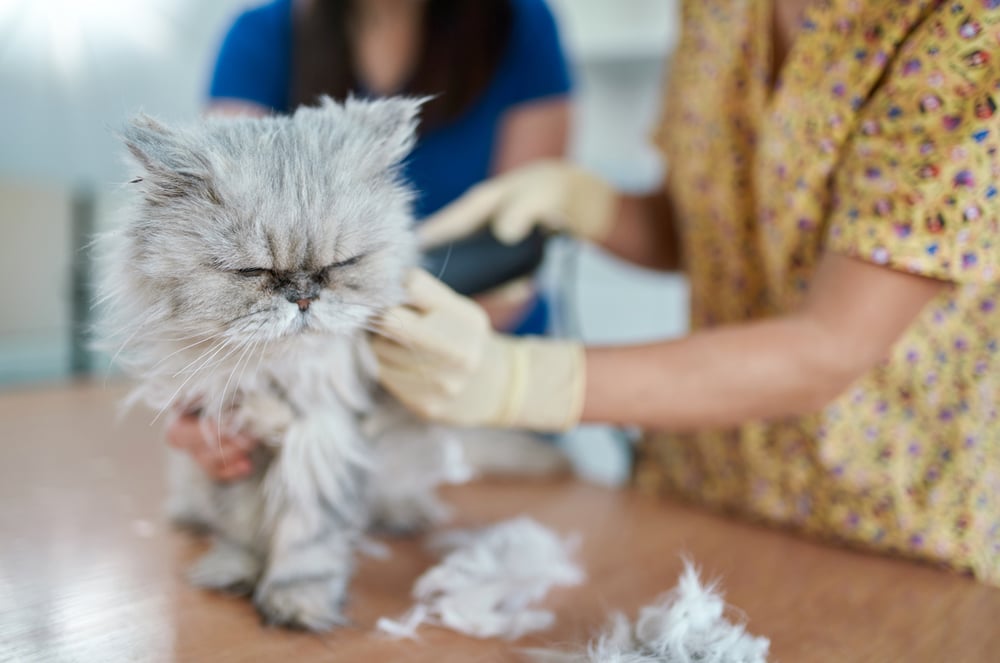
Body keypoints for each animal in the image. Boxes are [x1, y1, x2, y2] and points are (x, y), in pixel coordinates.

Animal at [100, 94, 572, 632]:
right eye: (252, 271)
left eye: (342, 264)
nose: (304, 296)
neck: (280, 378)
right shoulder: (228, 439)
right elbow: (243, 524)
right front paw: (236, 570)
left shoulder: (324, 439)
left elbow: (306, 537)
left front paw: (297, 601)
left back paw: (403, 511)